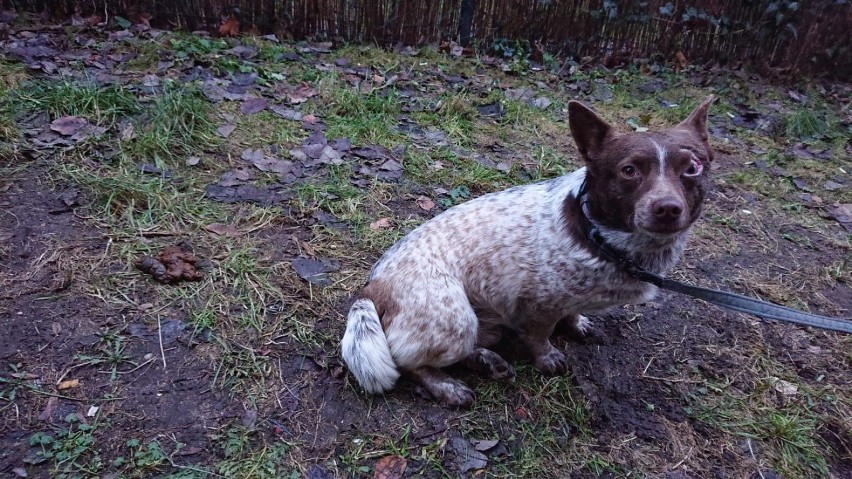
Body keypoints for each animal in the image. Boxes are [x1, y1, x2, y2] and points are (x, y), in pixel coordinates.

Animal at [342, 95, 716, 406]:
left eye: (692, 168)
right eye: (629, 170)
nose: (667, 209)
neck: (599, 236)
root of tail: (372, 288)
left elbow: (572, 313)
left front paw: (578, 323)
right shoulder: (540, 304)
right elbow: (540, 337)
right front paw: (548, 357)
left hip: (480, 323)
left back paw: (488, 362)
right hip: (457, 319)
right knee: (409, 362)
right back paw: (448, 386)